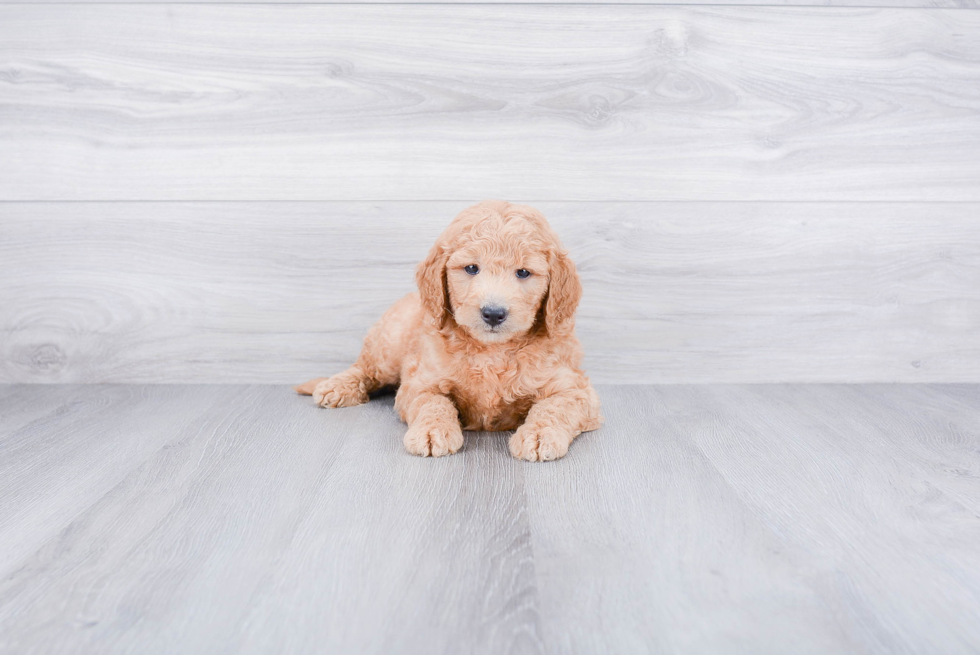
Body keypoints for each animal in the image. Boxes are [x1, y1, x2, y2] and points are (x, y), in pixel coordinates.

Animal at [296, 200, 604, 462]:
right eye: (471, 268)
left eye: (523, 273)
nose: (493, 313)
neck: (492, 351)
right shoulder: (419, 382)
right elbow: (433, 402)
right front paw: (432, 431)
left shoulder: (575, 388)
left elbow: (554, 406)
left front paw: (540, 434)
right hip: (388, 347)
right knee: (366, 368)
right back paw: (336, 385)